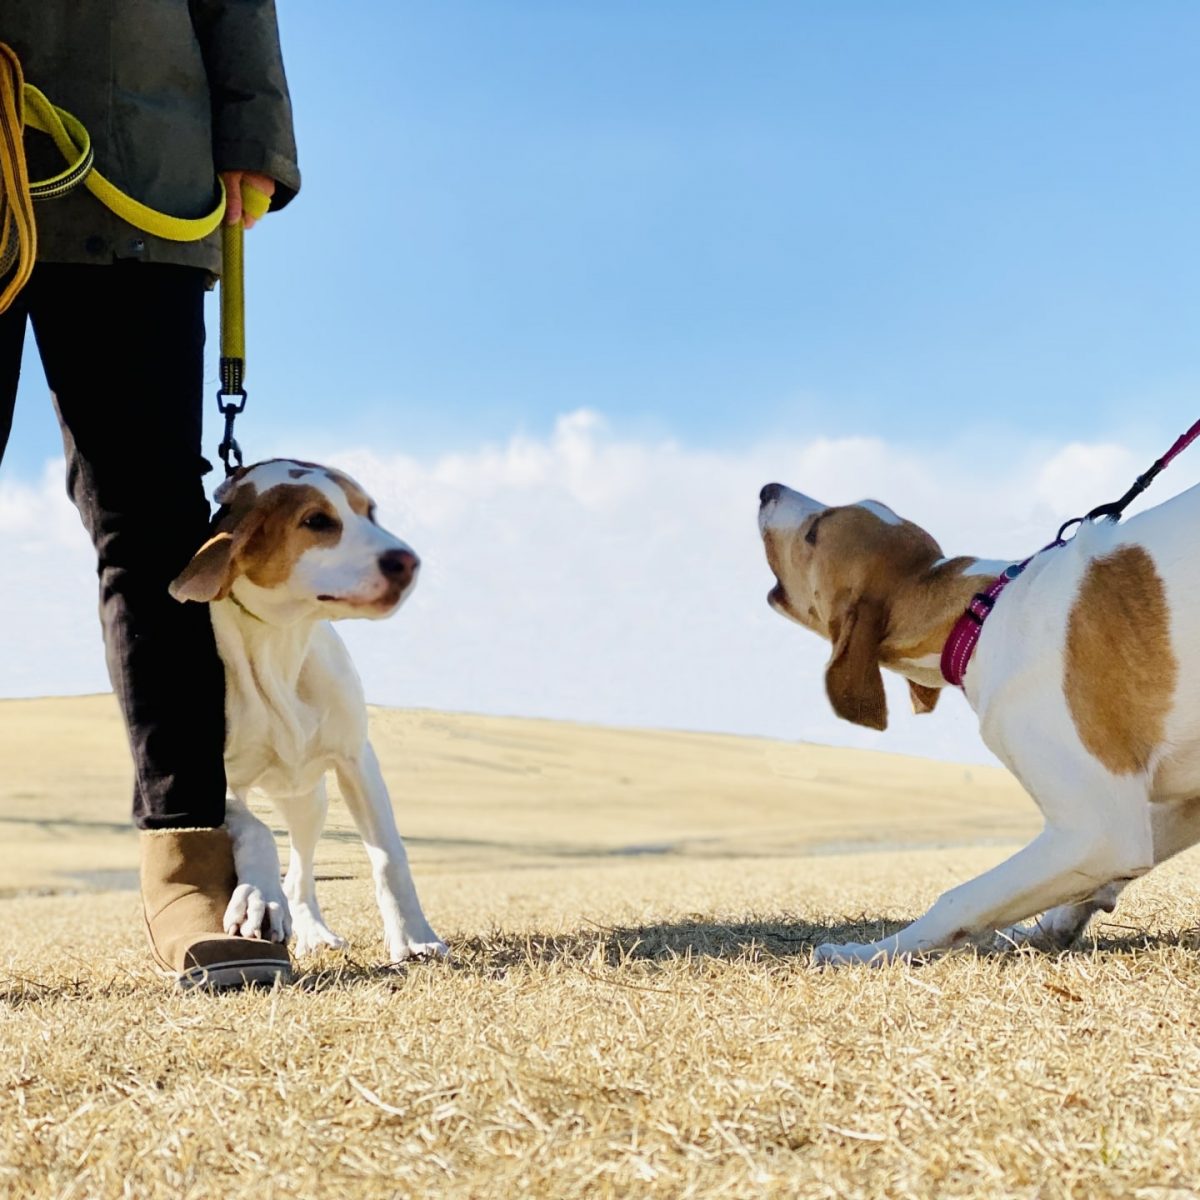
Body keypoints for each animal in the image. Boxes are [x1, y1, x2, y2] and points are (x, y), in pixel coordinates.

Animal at [170, 458, 446, 964]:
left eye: (369, 511)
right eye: (316, 521)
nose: (408, 561)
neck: (279, 641)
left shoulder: (357, 760)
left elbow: (389, 856)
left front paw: (415, 937)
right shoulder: (210, 777)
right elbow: (255, 827)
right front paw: (258, 897)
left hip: (309, 799)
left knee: (301, 868)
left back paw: (314, 931)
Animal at [758, 477, 1200, 964]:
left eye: (814, 533)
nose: (767, 489)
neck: (978, 615)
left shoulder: (1102, 828)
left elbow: (958, 899)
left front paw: (867, 953)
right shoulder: (1178, 806)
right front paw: (1053, 927)